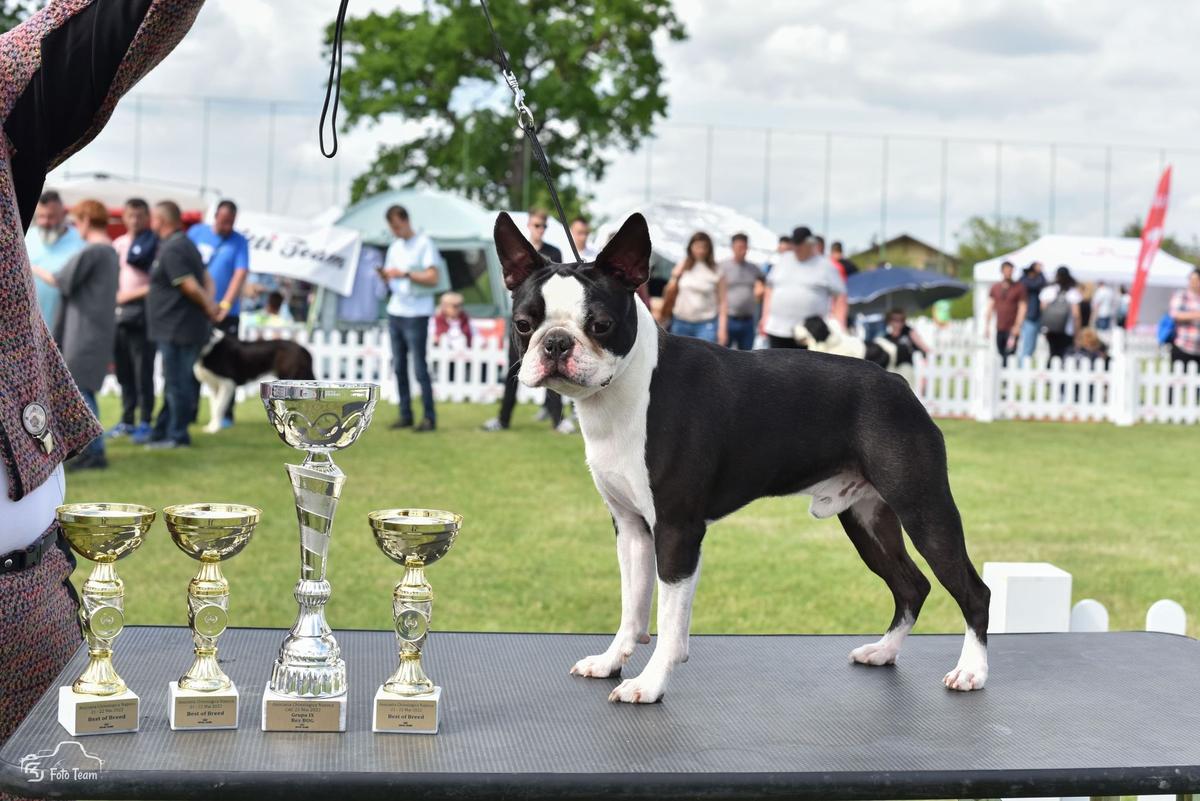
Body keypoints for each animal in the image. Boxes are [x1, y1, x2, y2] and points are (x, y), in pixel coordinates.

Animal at [492, 211, 988, 700]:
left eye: (599, 325)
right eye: (523, 324)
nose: (556, 342)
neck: (626, 392)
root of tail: (899, 384)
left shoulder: (676, 528)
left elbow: (668, 617)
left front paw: (649, 684)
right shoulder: (631, 529)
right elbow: (632, 608)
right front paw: (611, 662)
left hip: (924, 509)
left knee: (972, 591)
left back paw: (971, 671)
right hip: (867, 518)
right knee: (911, 585)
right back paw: (883, 651)